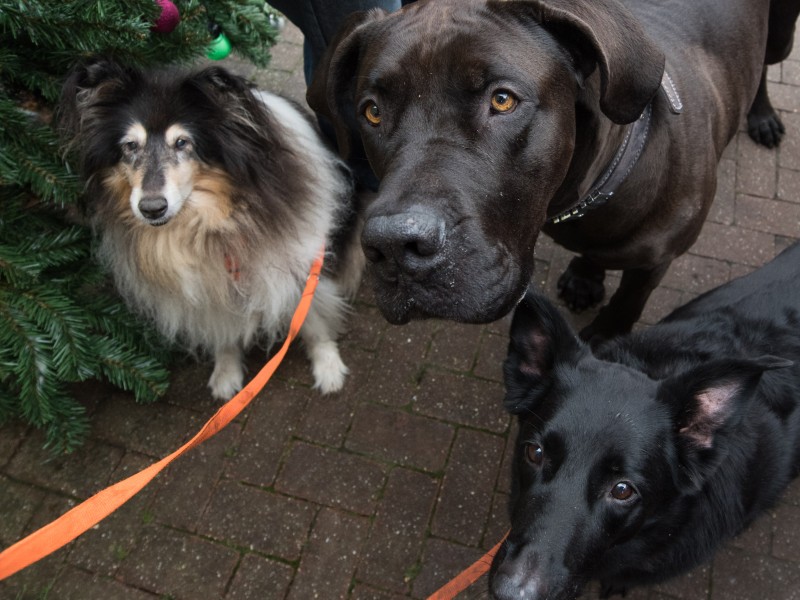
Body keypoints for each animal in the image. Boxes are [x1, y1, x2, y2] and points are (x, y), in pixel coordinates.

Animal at [57, 58, 364, 400]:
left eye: (182, 142)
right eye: (130, 146)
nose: (151, 208)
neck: (211, 225)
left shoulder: (303, 261)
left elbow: (312, 320)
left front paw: (329, 369)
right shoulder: (205, 286)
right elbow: (223, 333)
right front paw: (225, 376)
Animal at [308, 0, 800, 340]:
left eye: (502, 100)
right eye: (372, 112)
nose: (394, 246)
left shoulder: (655, 261)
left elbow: (627, 305)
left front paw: (605, 335)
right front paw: (586, 274)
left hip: (780, 33)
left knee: (765, 67)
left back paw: (762, 116)